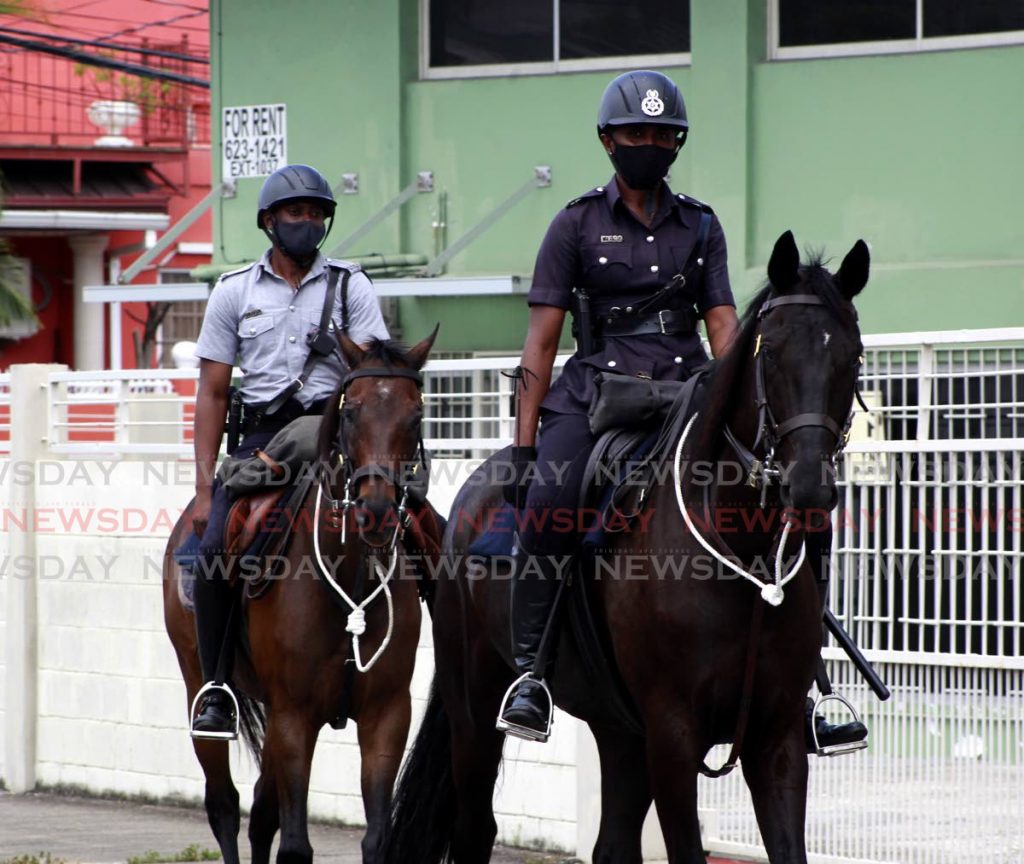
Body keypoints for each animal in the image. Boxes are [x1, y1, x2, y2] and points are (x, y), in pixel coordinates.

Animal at [162, 329, 436, 864]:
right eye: (351, 412)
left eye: (415, 416)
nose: (375, 511)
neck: (348, 579)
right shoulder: (294, 717)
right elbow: (293, 845)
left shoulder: (387, 715)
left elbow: (375, 838)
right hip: (197, 681)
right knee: (224, 805)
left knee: (261, 813)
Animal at [385, 231, 872, 864]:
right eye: (771, 353)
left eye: (853, 357)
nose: (810, 487)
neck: (742, 554)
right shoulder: (673, 738)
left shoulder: (778, 738)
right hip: (476, 710)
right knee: (475, 827)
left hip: (619, 729)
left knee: (612, 843)